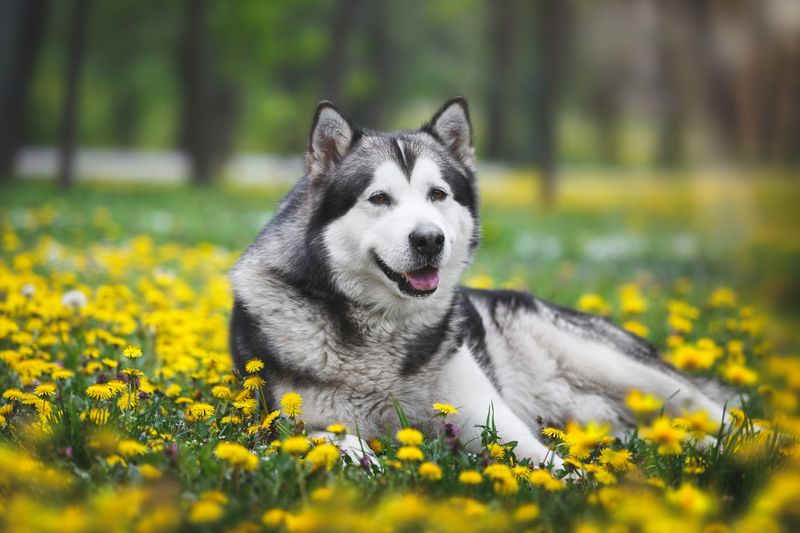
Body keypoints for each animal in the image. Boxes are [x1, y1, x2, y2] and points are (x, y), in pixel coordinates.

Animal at [230, 96, 732, 466]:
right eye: (379, 198)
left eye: (437, 194)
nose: (429, 239)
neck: (386, 330)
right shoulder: (294, 425)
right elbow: (340, 442)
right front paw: (369, 463)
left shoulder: (489, 421)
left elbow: (548, 462)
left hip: (624, 371)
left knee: (723, 413)